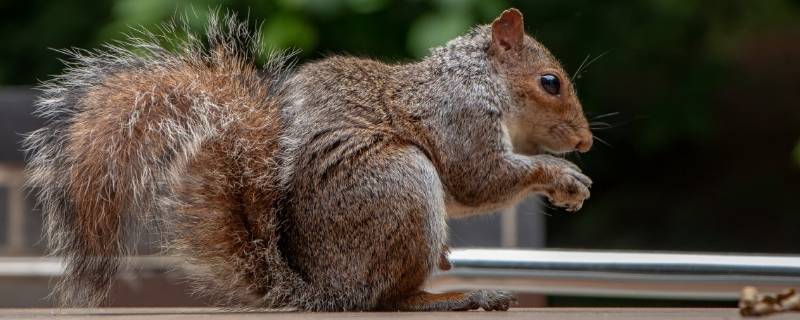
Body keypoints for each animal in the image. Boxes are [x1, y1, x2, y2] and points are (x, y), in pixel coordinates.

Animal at [23, 8, 592, 312]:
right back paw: (456, 297)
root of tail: (328, 289)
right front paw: (563, 176)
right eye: (550, 82)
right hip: (400, 182)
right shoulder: (461, 116)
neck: (478, 78)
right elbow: (478, 180)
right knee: (388, 300)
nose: (585, 142)